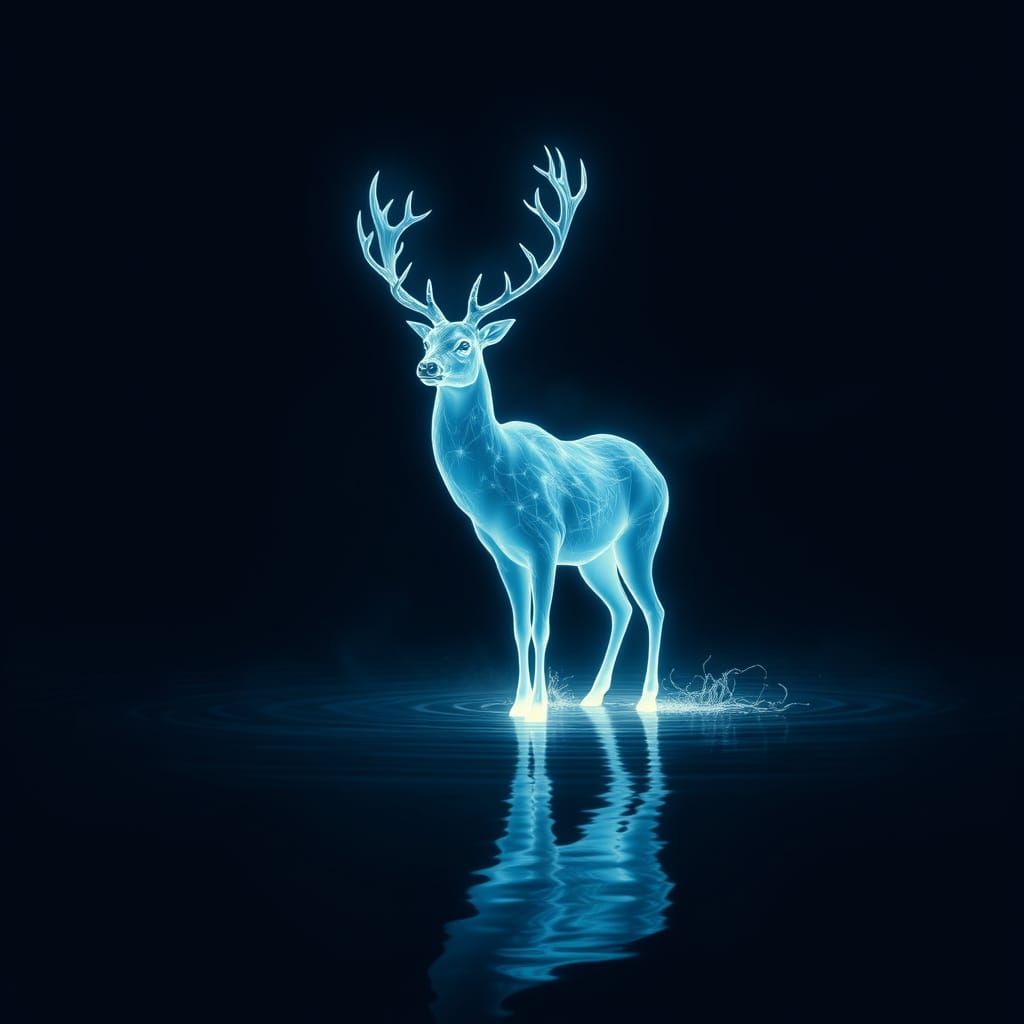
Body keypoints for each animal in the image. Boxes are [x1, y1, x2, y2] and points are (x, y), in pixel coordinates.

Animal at [356, 147, 668, 722]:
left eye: (465, 344)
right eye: (428, 339)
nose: (426, 367)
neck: (491, 494)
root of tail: (655, 468)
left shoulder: (546, 540)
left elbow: (543, 627)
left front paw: (540, 708)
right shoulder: (500, 550)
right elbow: (518, 627)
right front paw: (518, 705)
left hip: (641, 533)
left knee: (653, 607)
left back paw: (646, 698)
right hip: (594, 554)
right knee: (619, 609)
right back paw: (593, 695)